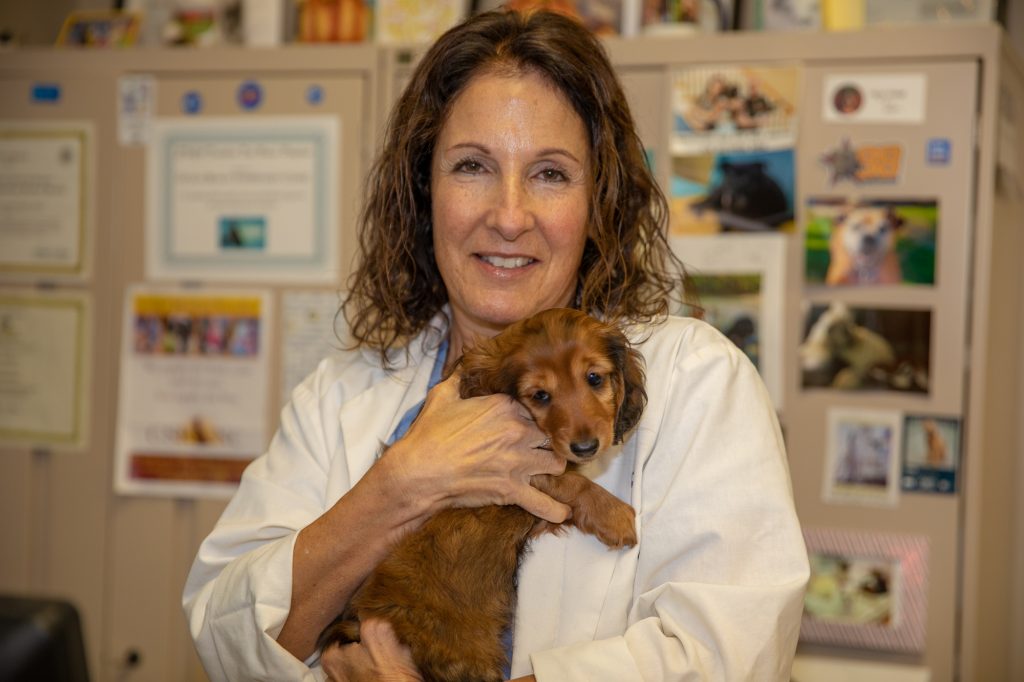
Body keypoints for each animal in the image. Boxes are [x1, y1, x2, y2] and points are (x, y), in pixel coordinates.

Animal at [315, 307, 643, 679]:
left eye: (594, 378)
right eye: (541, 395)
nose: (586, 447)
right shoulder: (513, 470)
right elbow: (572, 482)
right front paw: (615, 516)